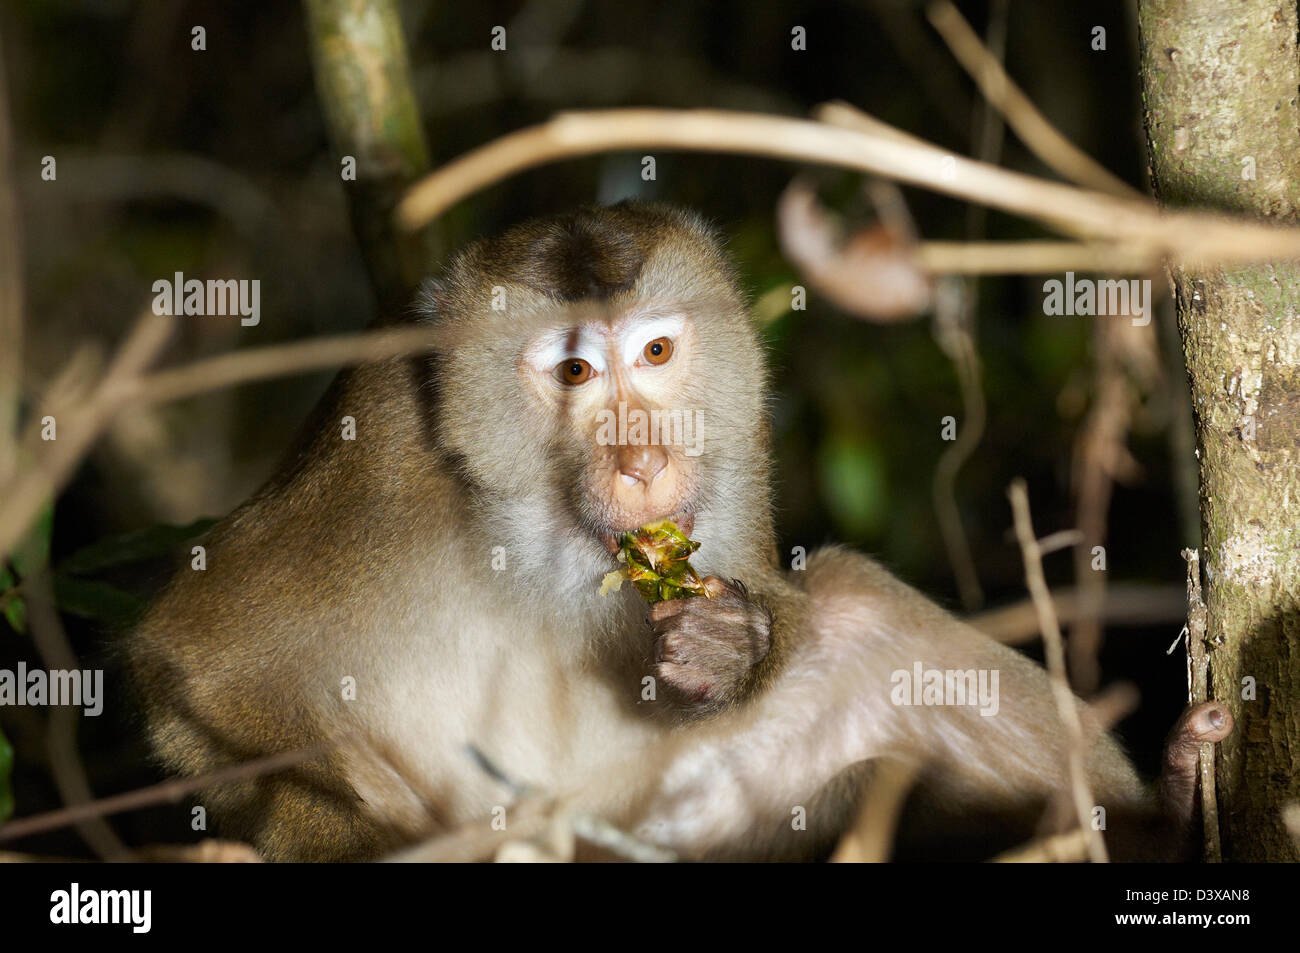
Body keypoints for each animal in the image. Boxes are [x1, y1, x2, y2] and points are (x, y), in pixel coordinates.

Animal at [124, 202, 1229, 862]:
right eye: (573, 371)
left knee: (858, 616)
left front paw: (727, 642)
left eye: (656, 352)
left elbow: (771, 597)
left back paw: (1162, 823)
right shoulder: (379, 458)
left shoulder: (735, 454)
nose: (643, 463)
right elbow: (195, 664)